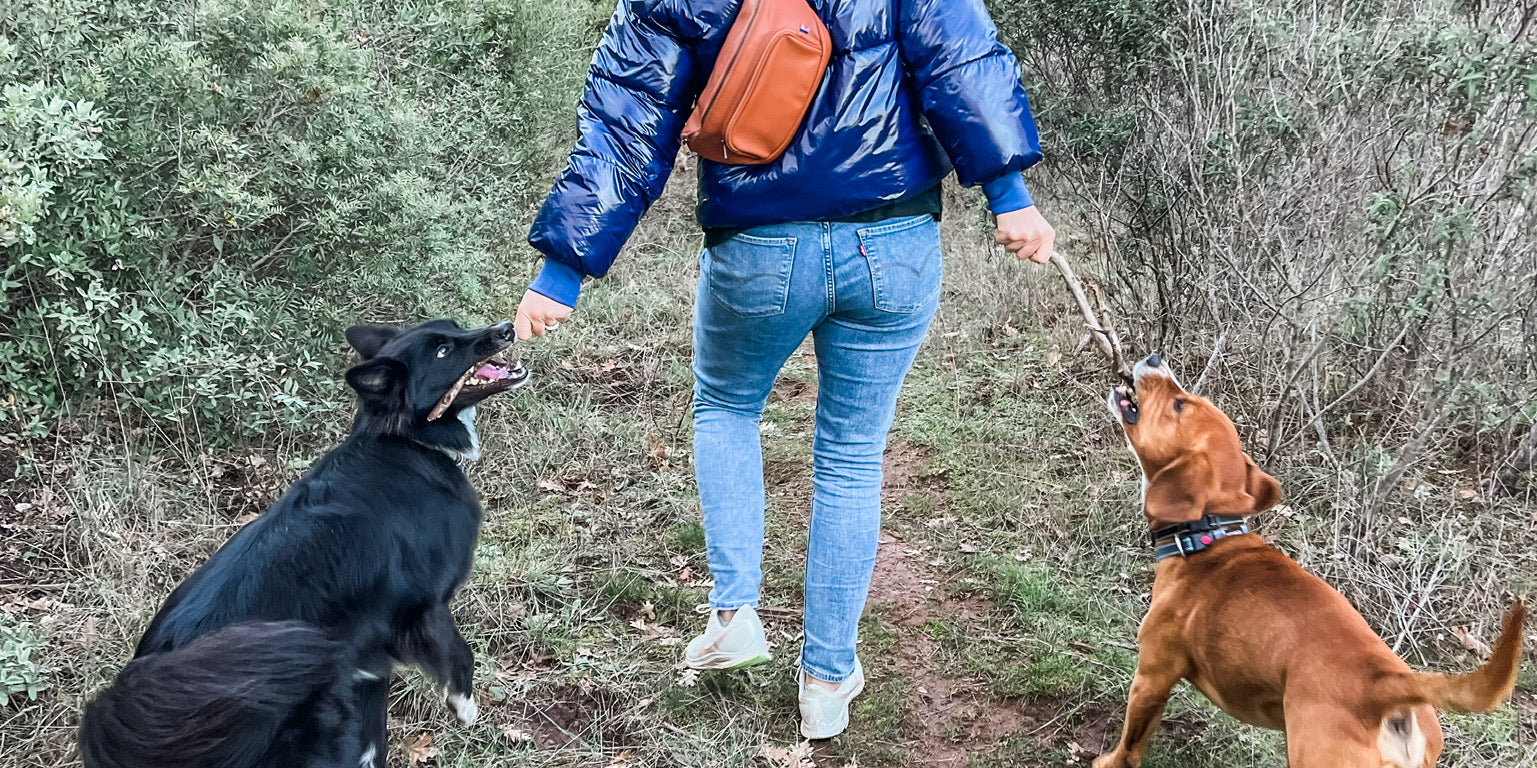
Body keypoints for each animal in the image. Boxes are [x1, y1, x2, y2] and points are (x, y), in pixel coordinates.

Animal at [79, 317, 528, 768]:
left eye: (454, 328)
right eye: (441, 351)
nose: (506, 327)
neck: (407, 439)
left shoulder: (370, 664)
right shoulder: (423, 608)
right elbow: (460, 655)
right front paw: (464, 704)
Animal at [1094, 353, 1524, 768]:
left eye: (1180, 404)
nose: (1154, 357)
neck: (1209, 533)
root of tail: (1388, 688)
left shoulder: (1152, 675)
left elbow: (1131, 744)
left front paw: (1109, 761)